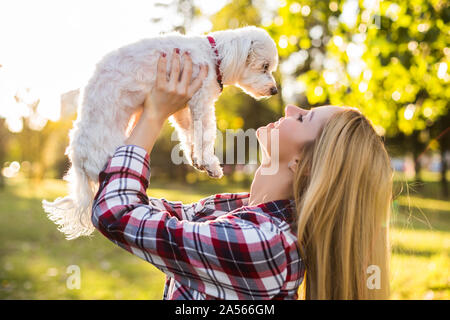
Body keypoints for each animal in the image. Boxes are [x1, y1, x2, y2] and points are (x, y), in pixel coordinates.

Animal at [44, 26, 280, 239]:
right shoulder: (201, 100)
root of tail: (79, 162)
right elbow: (205, 134)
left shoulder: (184, 109)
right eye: (264, 66)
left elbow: (188, 133)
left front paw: (196, 160)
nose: (275, 90)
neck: (214, 56)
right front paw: (210, 163)